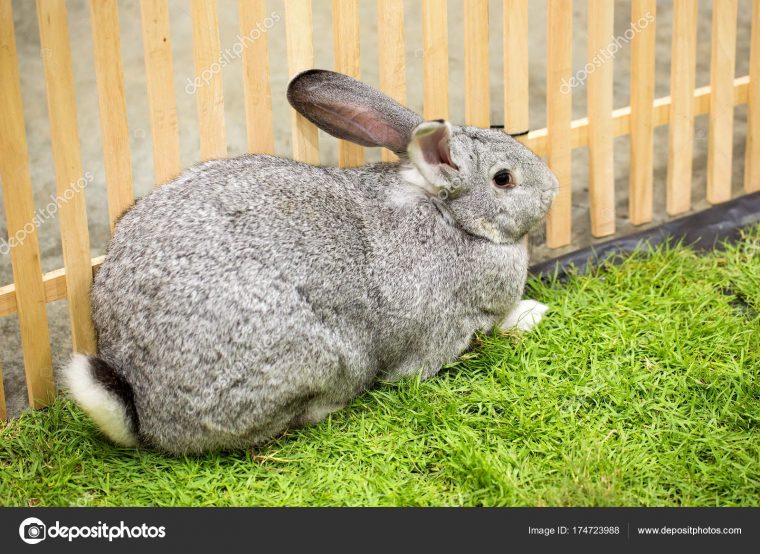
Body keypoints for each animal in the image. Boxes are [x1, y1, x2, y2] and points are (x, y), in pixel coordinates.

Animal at [63, 69, 558, 455]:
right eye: (504, 179)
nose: (553, 186)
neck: (453, 217)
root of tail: (144, 411)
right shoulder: (446, 331)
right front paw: (532, 312)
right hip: (325, 360)